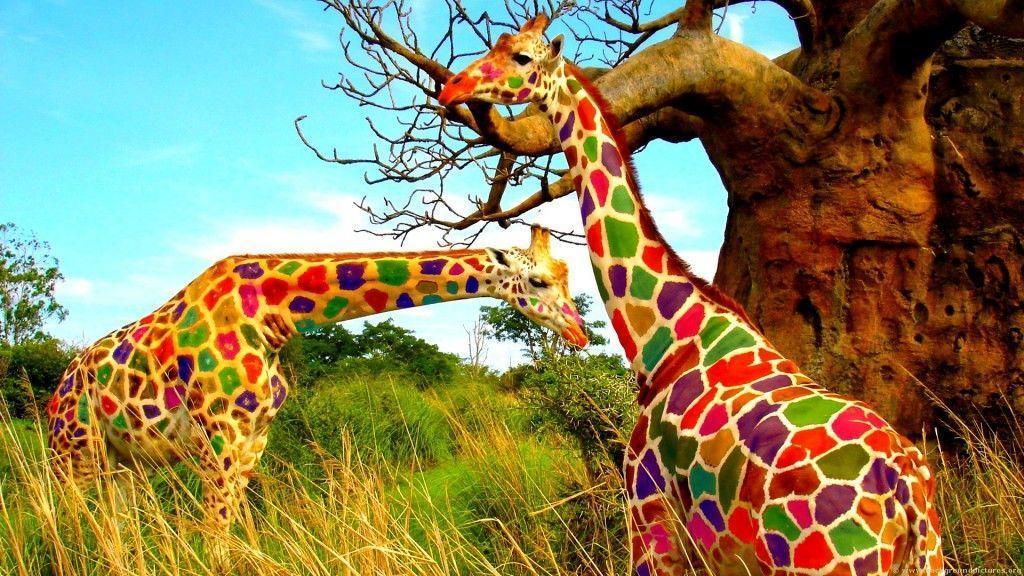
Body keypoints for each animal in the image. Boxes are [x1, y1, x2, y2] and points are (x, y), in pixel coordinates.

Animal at [46, 225, 588, 530]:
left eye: (567, 276)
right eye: (538, 280)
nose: (580, 333)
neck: (272, 313)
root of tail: (57, 392)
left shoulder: (253, 440)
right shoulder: (219, 438)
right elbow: (214, 538)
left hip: (122, 464)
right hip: (73, 457)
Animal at [440, 15, 943, 576]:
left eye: (521, 57)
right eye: (497, 44)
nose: (452, 87)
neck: (662, 338)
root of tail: (908, 497)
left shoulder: (648, 506)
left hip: (820, 562)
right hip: (926, 560)